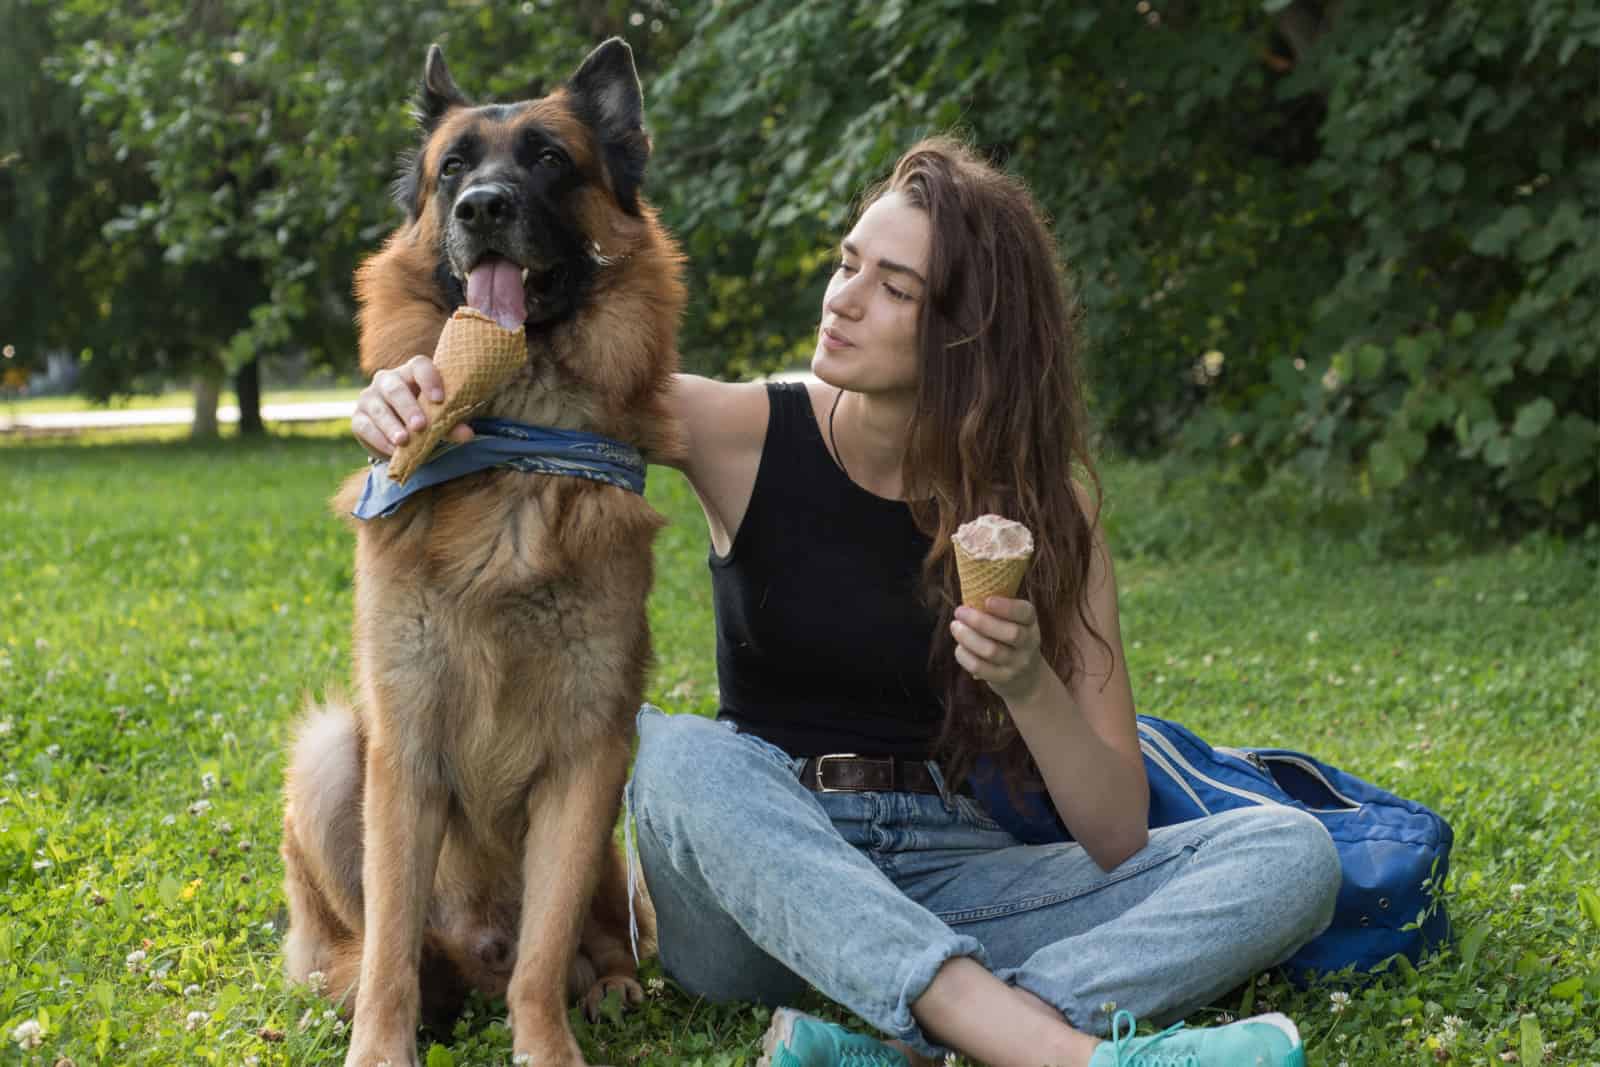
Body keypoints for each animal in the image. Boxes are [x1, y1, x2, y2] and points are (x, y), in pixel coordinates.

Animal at [281, 37, 681, 1062]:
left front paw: (545, 1043)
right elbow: (390, 946)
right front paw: (381, 1045)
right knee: (377, 950)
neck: (512, 452)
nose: (484, 208)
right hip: (331, 752)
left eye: (548, 160)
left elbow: (542, 957)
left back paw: (607, 984)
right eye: (454, 168)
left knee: (584, 940)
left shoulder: (589, 756)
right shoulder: (405, 751)